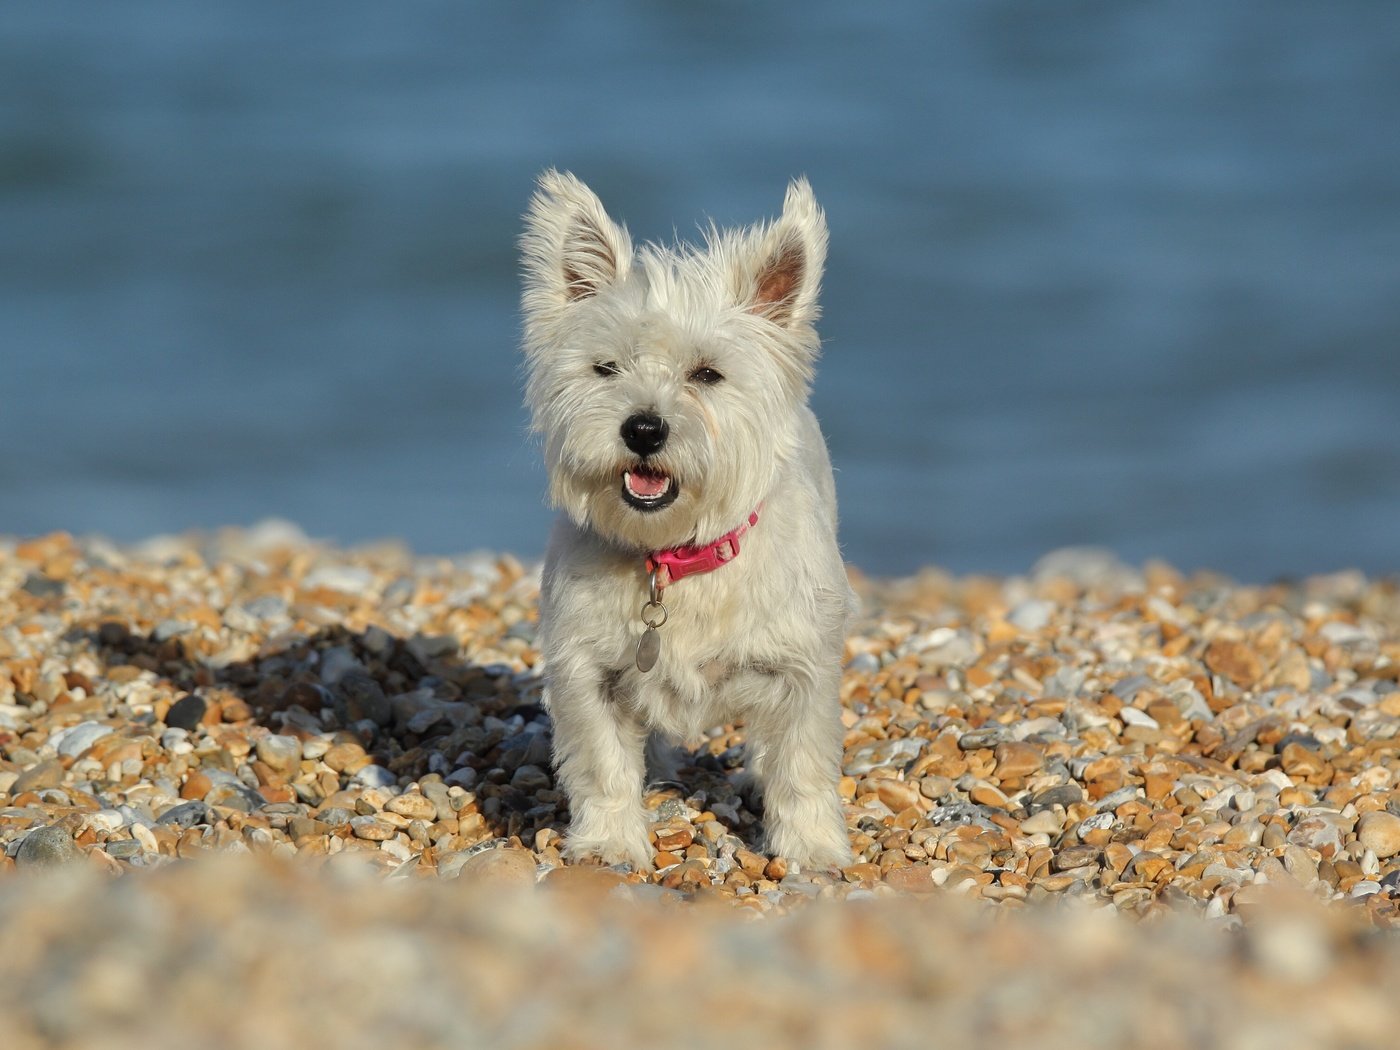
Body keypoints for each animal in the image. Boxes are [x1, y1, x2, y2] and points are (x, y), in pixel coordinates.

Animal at [526, 172, 851, 873]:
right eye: (605, 368)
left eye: (707, 373)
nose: (644, 429)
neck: (675, 557)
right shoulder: (588, 670)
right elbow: (603, 765)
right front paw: (609, 844)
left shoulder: (800, 668)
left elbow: (801, 766)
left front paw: (813, 850)